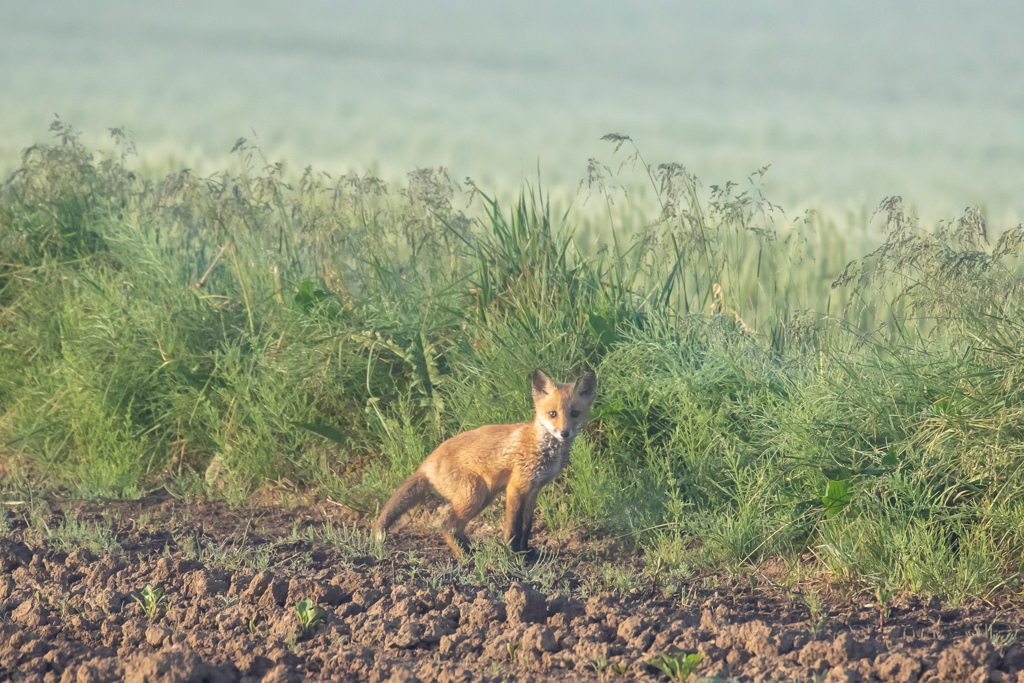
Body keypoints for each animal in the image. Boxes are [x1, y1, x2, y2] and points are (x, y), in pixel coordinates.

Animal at [372, 370, 598, 557]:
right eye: (553, 414)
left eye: (574, 413)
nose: (564, 433)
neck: (542, 447)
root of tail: (426, 461)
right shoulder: (516, 487)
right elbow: (513, 528)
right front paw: (513, 555)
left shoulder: (533, 490)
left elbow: (526, 527)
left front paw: (526, 553)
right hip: (474, 495)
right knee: (447, 527)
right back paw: (465, 558)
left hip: (483, 497)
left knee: (457, 529)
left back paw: (472, 552)